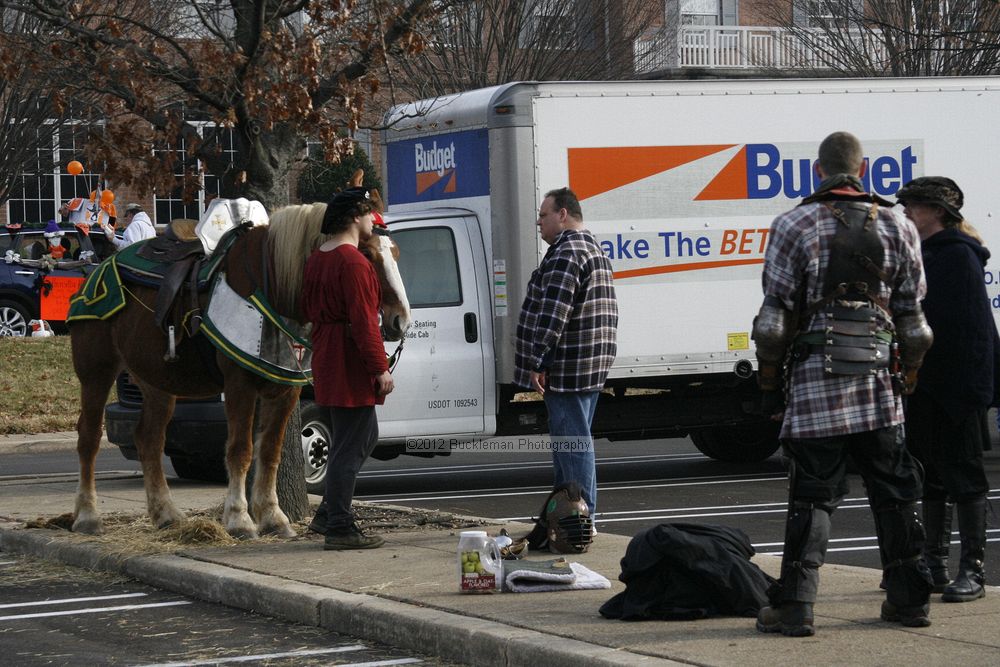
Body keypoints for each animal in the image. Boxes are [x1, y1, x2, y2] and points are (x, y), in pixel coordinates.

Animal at [71, 201, 410, 540]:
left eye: (396, 252)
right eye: (366, 254)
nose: (400, 320)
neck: (271, 286)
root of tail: (96, 269)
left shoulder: (286, 390)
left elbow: (270, 451)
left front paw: (273, 517)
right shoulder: (239, 386)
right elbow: (240, 450)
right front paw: (239, 518)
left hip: (157, 382)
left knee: (149, 439)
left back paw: (166, 514)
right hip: (96, 370)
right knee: (89, 437)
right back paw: (87, 515)